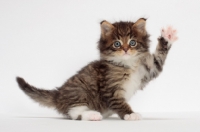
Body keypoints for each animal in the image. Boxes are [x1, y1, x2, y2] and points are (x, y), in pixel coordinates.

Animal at [16, 18, 178, 121]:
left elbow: (158, 59)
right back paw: (91, 115)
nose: (126, 49)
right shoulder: (110, 89)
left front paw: (167, 36)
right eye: (117, 44)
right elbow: (120, 103)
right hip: (79, 91)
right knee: (74, 113)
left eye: (132, 42)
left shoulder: (148, 69)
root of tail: (59, 94)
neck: (127, 64)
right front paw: (130, 114)